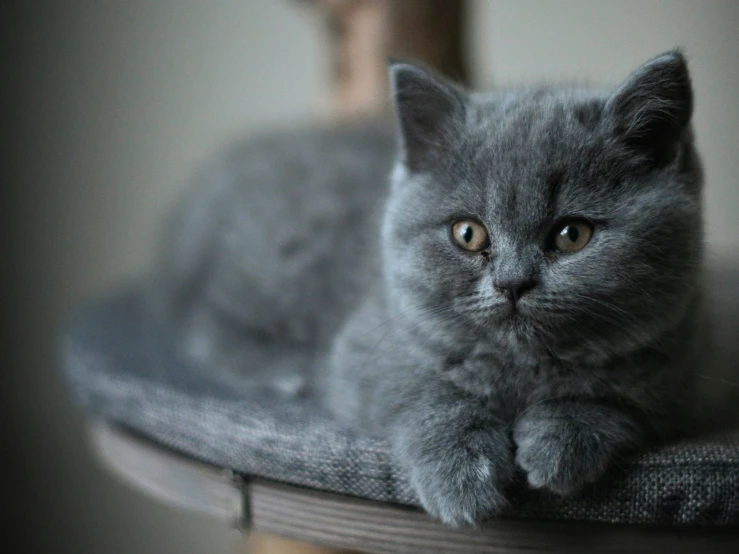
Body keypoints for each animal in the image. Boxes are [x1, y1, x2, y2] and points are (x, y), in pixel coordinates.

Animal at [156, 52, 736, 528]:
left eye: (572, 235)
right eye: (468, 233)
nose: (512, 282)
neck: (520, 373)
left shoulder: (691, 367)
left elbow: (625, 395)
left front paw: (562, 439)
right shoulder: (367, 346)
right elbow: (426, 393)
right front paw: (461, 473)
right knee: (203, 322)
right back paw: (286, 370)